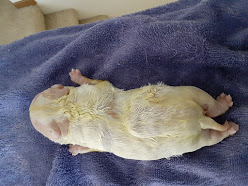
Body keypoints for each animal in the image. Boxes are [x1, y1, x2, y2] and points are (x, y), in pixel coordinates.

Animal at [29, 69, 238, 161]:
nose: (29, 110)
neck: (70, 110)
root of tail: (198, 120)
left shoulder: (96, 90)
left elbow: (98, 82)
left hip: (190, 93)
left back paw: (224, 104)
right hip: (197, 136)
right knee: (213, 130)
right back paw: (228, 125)